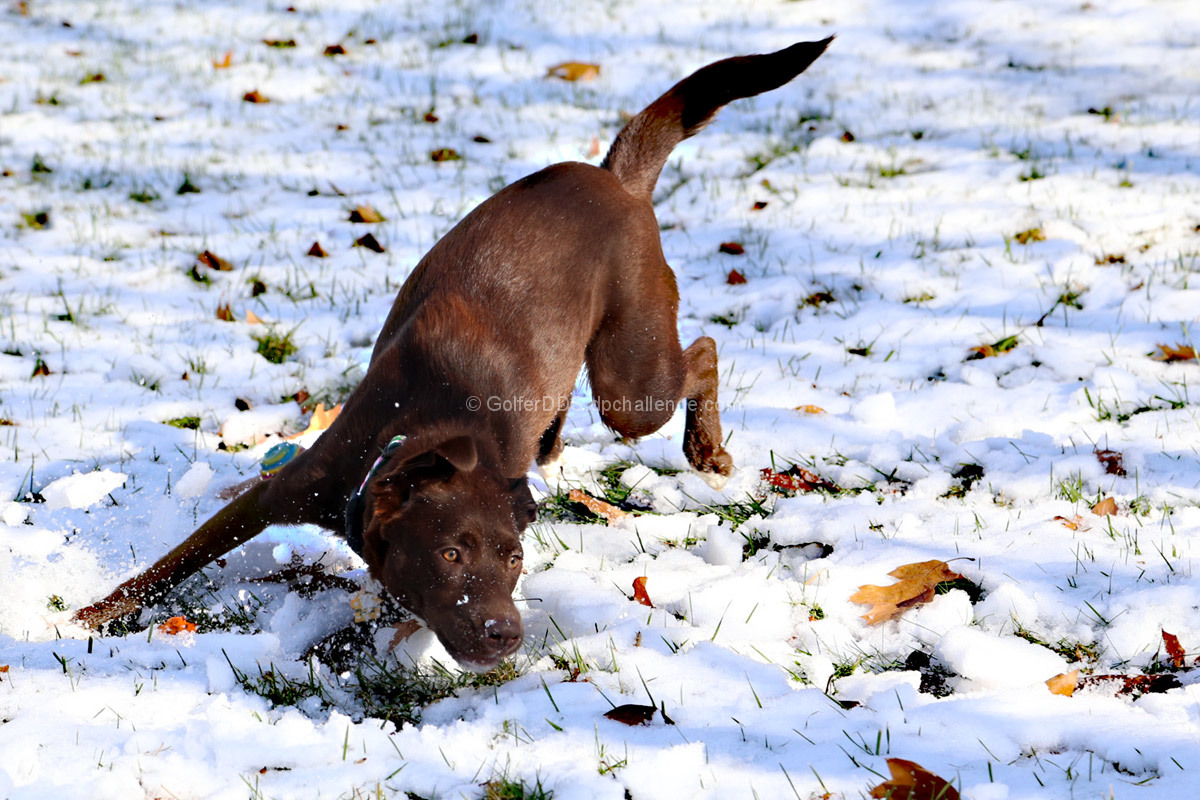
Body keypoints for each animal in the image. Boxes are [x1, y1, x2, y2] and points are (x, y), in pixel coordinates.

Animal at [70, 40, 830, 671]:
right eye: (450, 553)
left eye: (515, 558)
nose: (506, 634)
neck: (434, 427)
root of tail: (615, 178)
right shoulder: (286, 488)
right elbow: (174, 561)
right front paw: (88, 615)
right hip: (623, 382)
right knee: (675, 361)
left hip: (628, 379)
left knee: (702, 350)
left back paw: (706, 448)